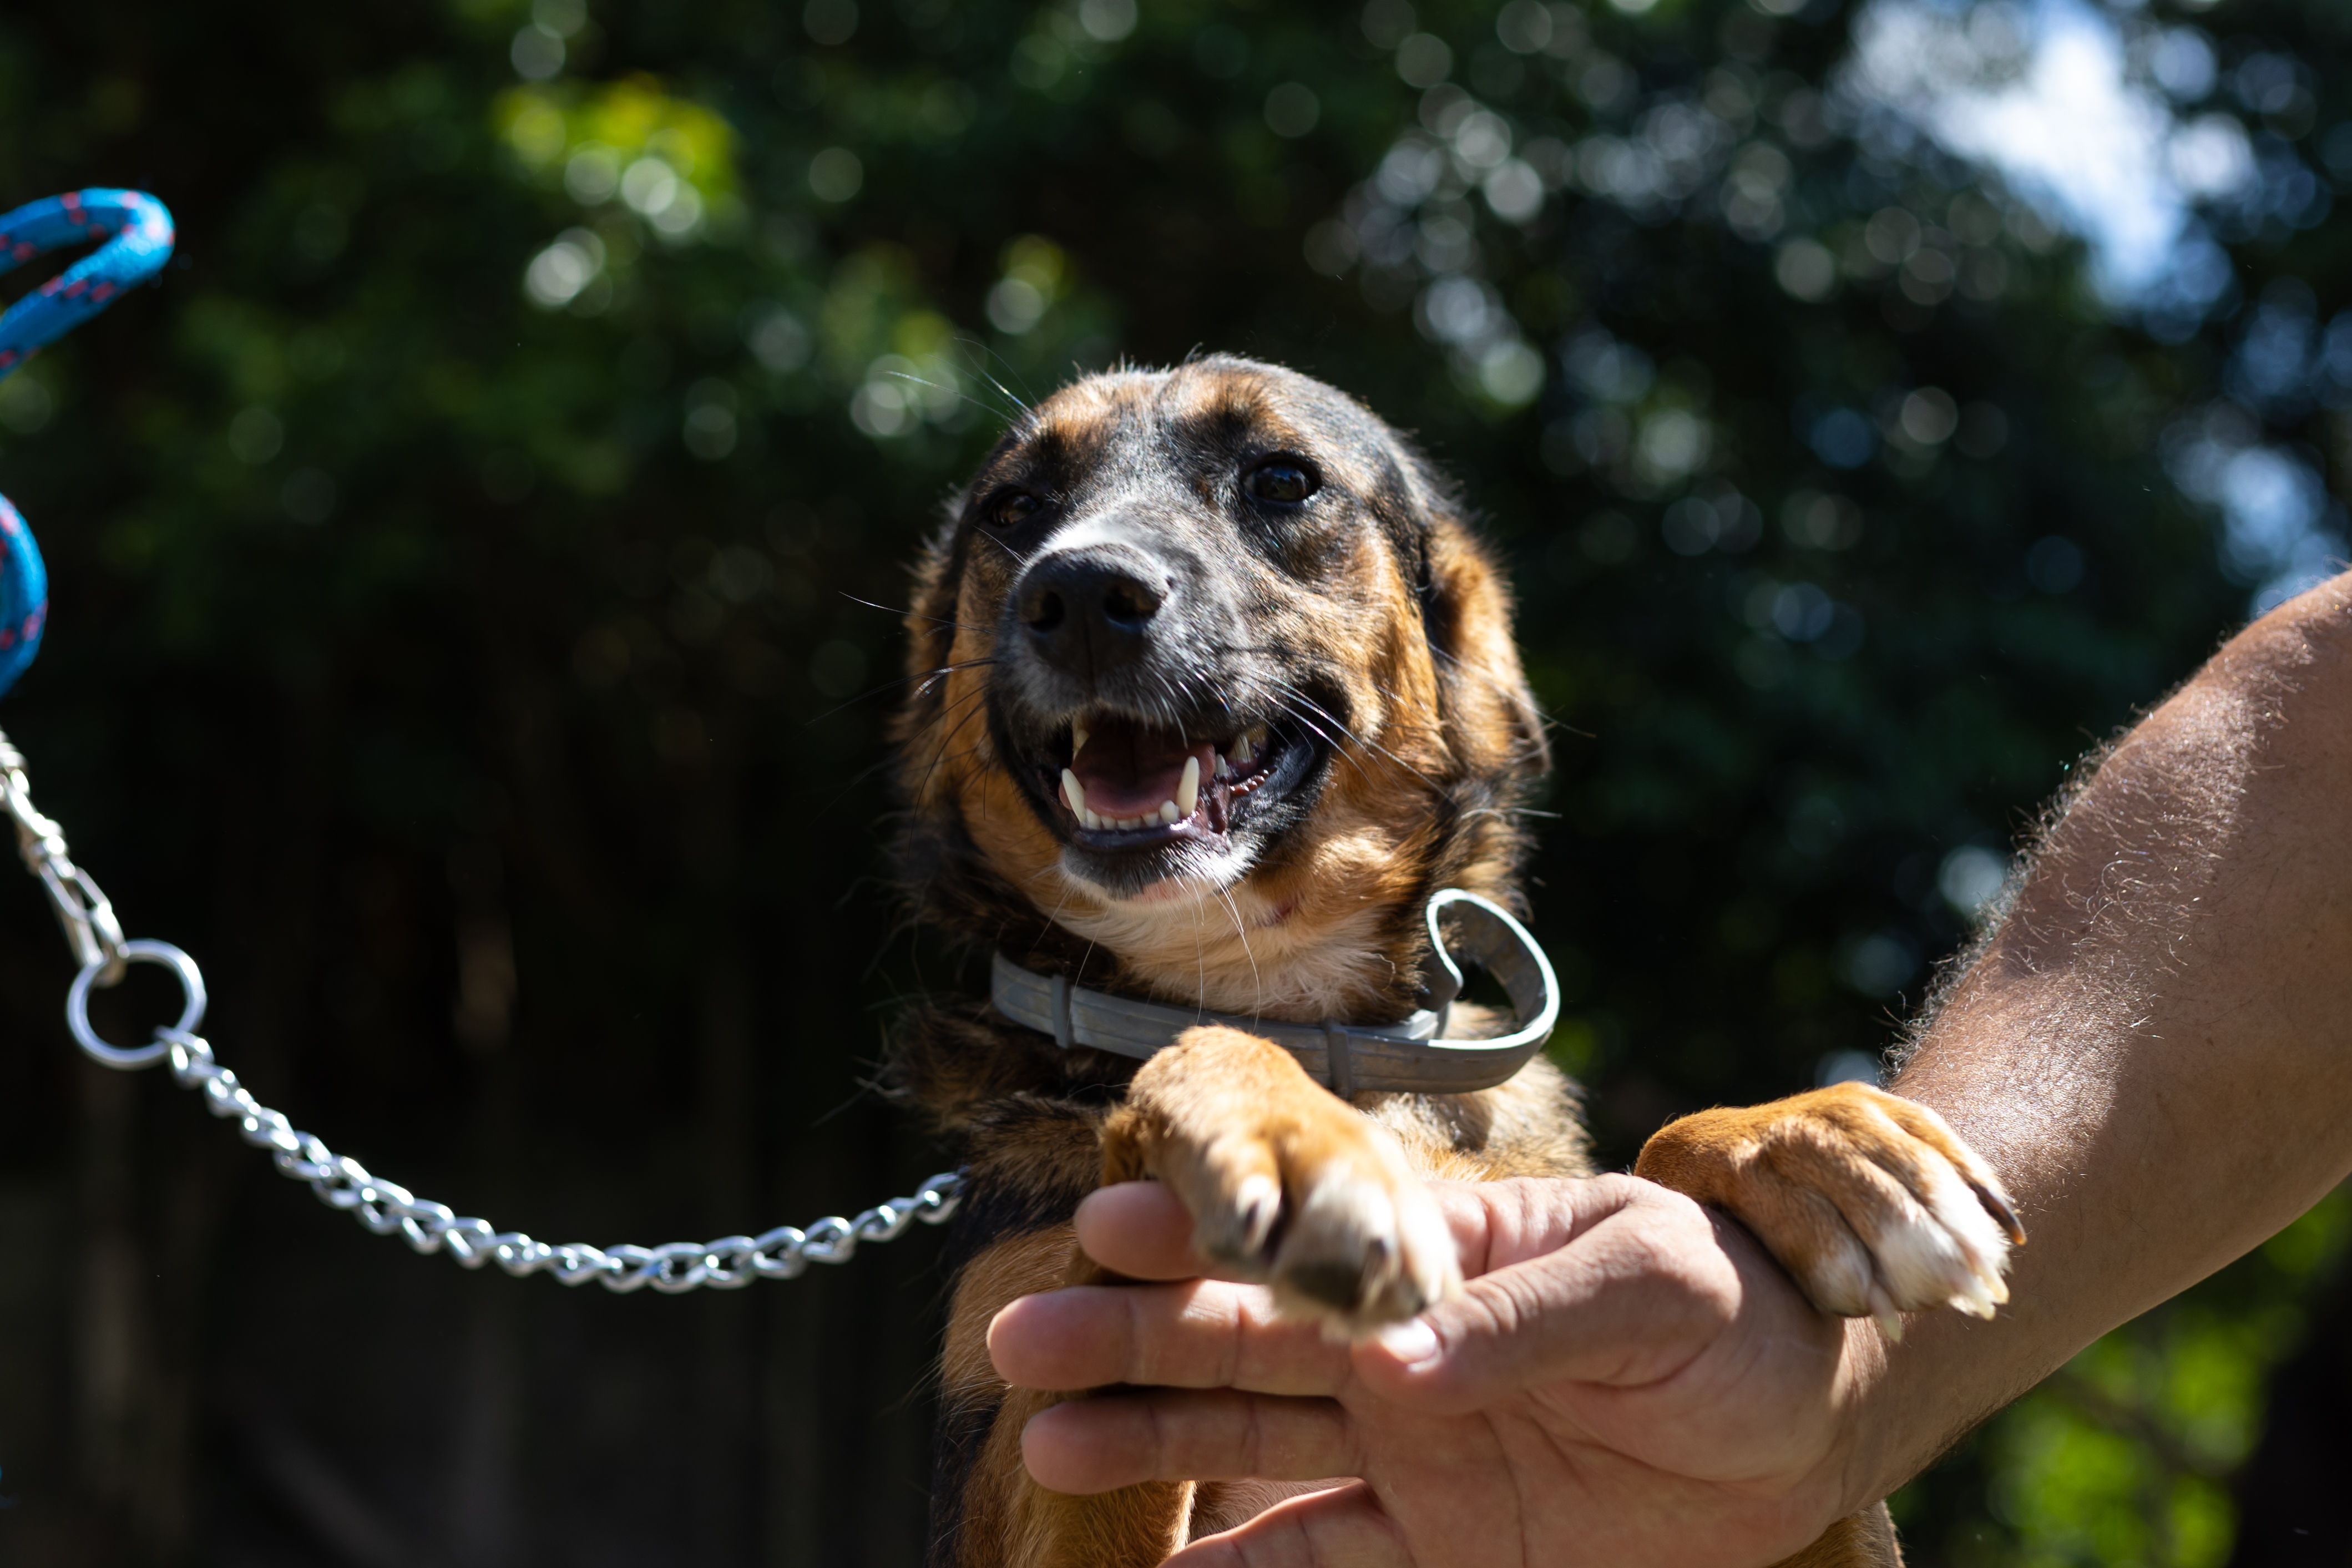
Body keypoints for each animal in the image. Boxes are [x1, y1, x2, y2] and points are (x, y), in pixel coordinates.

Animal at [884, 360, 2022, 1568]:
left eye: (1281, 479)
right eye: (1013, 509)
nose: (1082, 588)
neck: (1281, 999)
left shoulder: (1774, 1514)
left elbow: (1654, 1158)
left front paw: (1807, 1140)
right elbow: (1195, 1069)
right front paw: (1281, 1137)